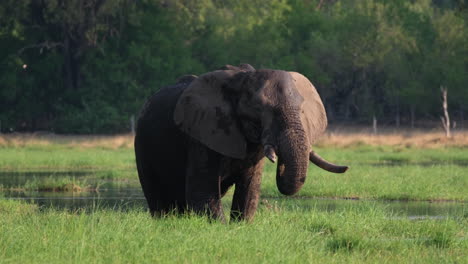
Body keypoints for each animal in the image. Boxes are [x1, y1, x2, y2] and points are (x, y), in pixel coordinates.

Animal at [134, 65, 348, 222]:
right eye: (259, 110)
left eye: (302, 110)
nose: (279, 161)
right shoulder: (201, 134)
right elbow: (202, 192)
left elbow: (250, 189)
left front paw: (240, 225)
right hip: (142, 145)